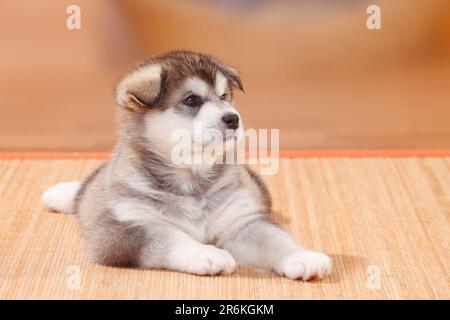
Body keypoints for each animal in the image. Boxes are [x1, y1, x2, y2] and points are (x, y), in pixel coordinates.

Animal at [42, 50, 330, 280]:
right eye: (191, 100)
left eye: (224, 96)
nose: (233, 119)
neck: (193, 178)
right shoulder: (121, 230)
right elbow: (171, 237)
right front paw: (206, 254)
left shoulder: (240, 222)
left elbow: (276, 240)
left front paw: (302, 257)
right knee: (87, 187)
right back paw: (60, 194)